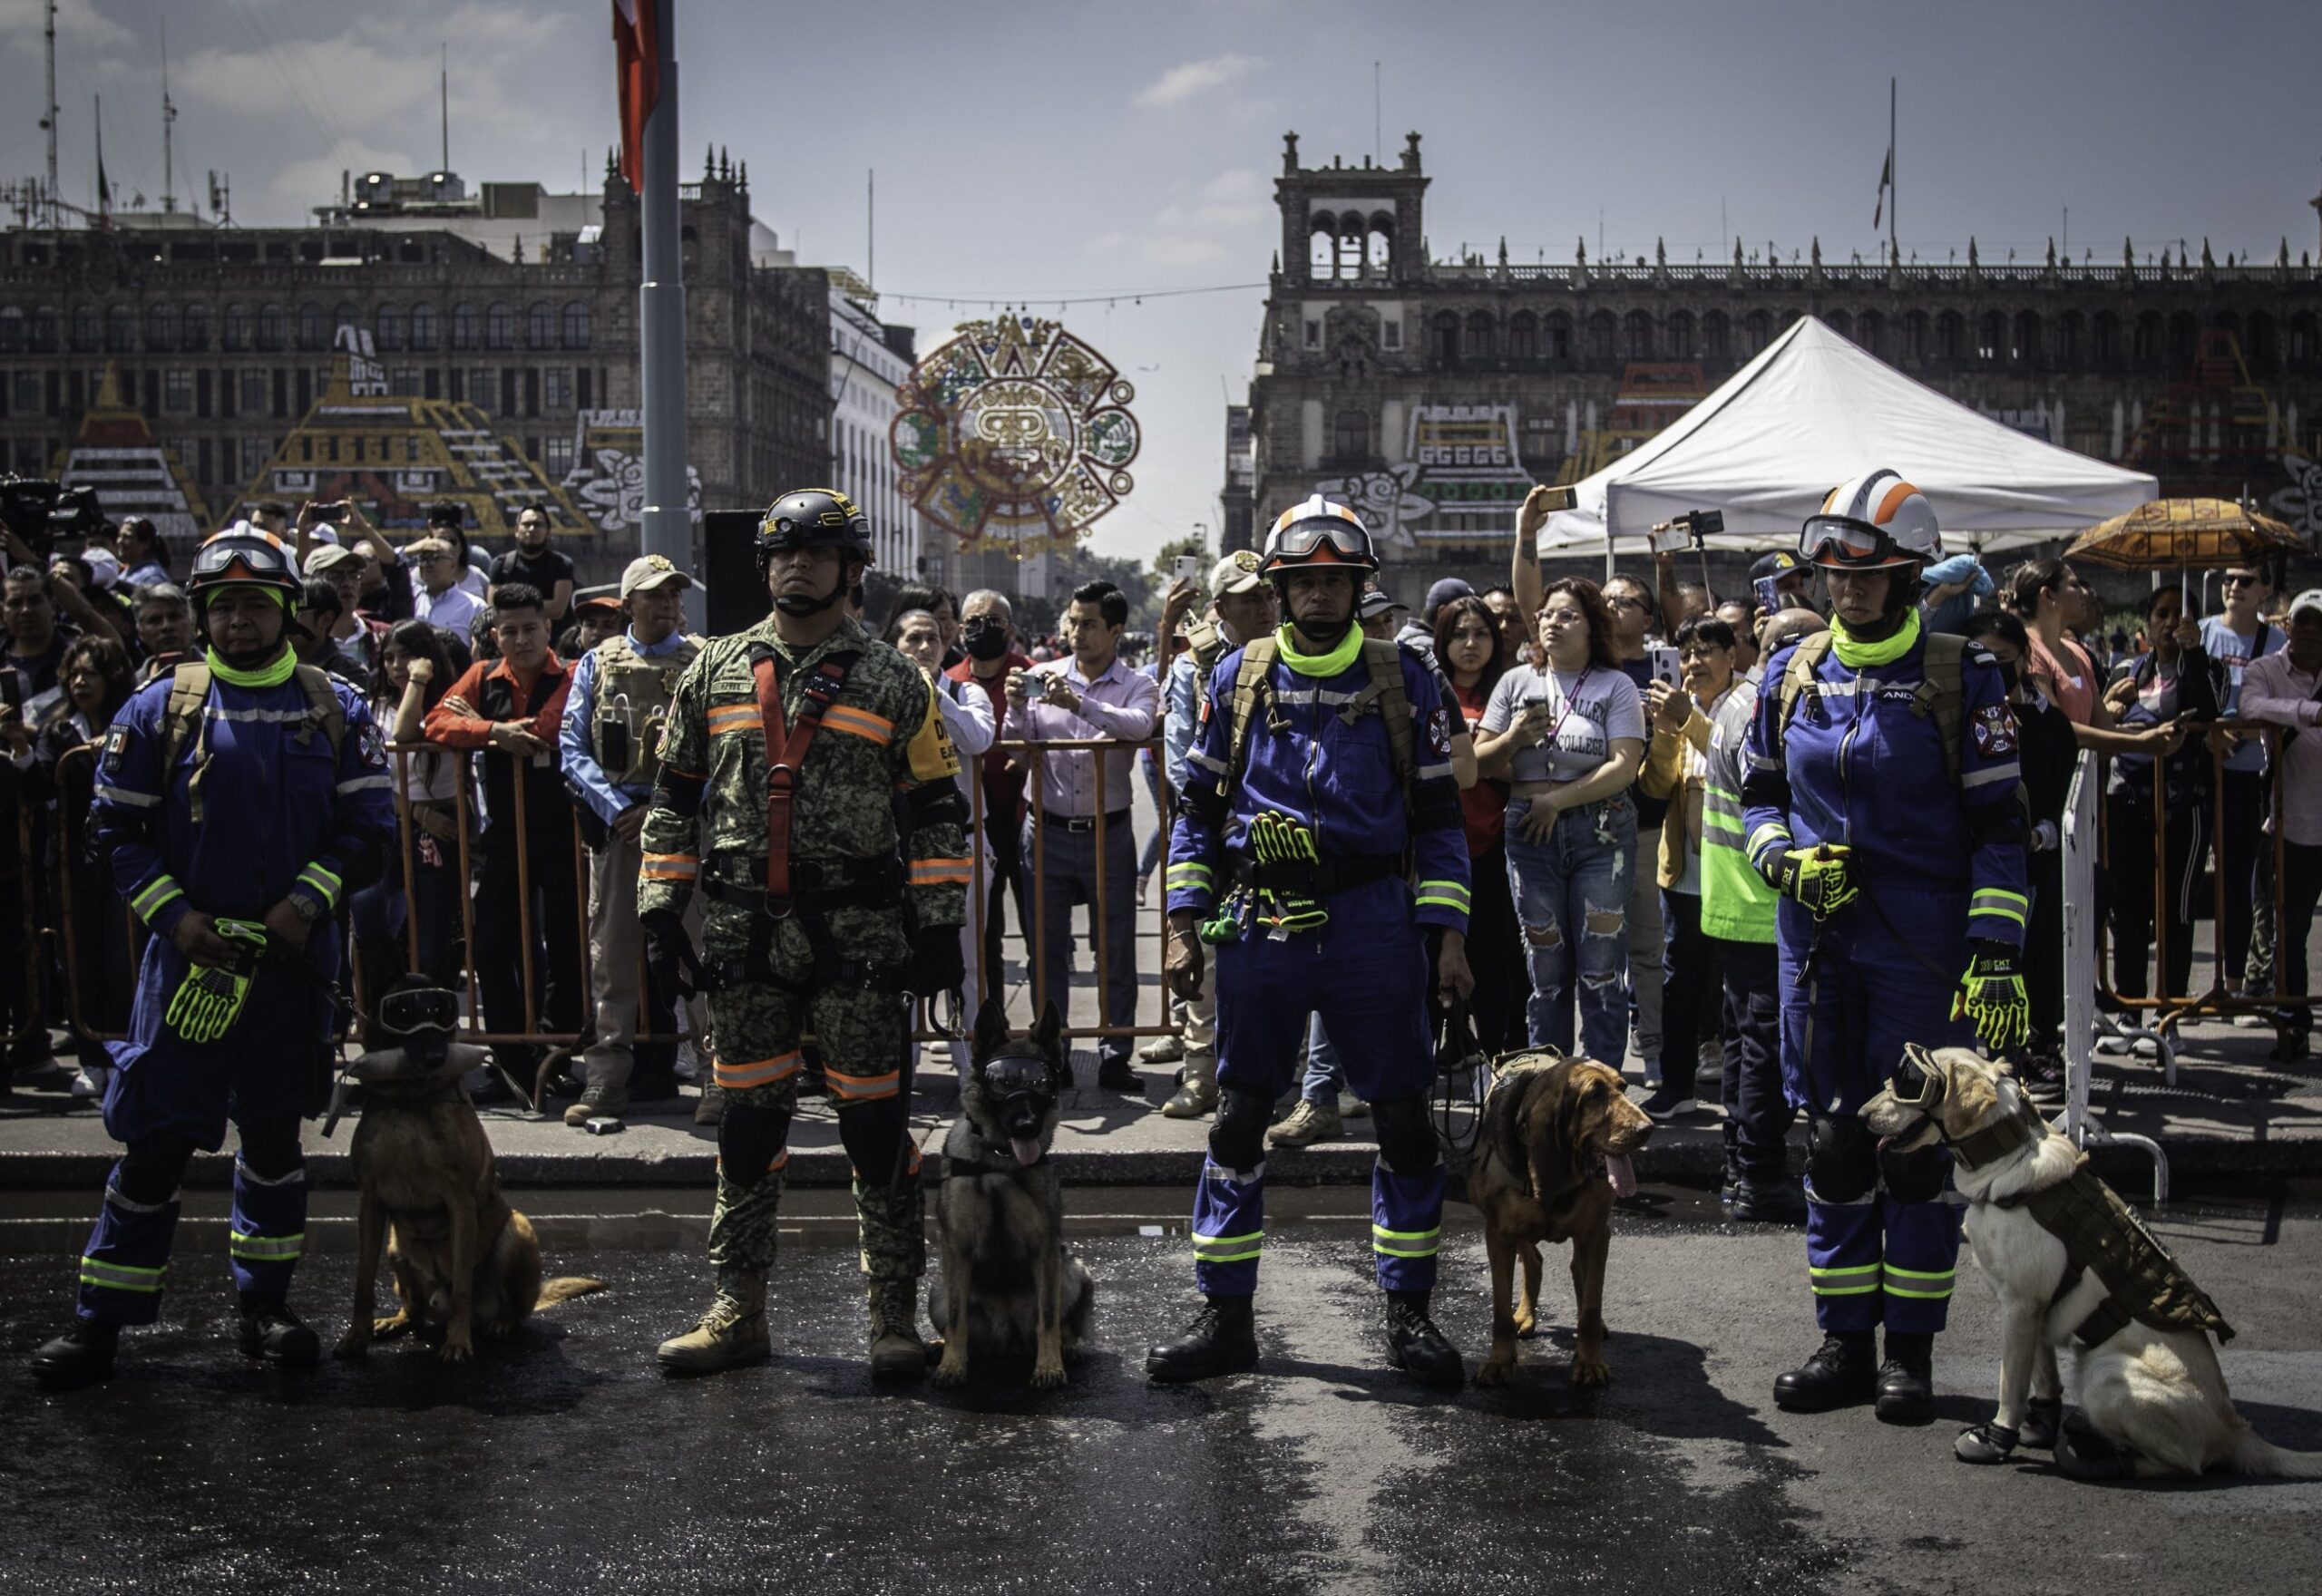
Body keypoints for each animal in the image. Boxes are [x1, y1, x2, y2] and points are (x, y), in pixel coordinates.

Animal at [338, 974, 612, 1354]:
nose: (437, 1057)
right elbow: (363, 1281)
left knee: (508, 1307)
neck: (411, 1101)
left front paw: (457, 1342)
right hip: (396, 1249)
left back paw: (500, 1323)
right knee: (414, 1310)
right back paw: (396, 1320)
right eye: (404, 1013)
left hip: (518, 1231)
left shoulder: (460, 1201)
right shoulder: (369, 1202)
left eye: (442, 1013)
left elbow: (462, 1284)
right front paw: (355, 1337)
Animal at [923, 998, 1096, 1382]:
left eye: (1042, 1082)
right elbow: (957, 1319)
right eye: (1001, 1083)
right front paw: (952, 1365)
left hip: (1074, 1272)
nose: (1027, 1126)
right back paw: (943, 1348)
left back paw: (1067, 1348)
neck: (999, 1161)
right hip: (937, 1289)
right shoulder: (956, 1248)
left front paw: (1048, 1366)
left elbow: (1048, 1318)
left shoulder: (1045, 1248)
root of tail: (1010, 1341)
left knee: (1064, 1324)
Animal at [1467, 1048, 1653, 1382]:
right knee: (1535, 1262)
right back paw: (1524, 1316)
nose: (1647, 1129)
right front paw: (1500, 1362)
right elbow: (1500, 1310)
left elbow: (1590, 1306)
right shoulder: (1498, 1235)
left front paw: (1590, 1363)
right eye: (1594, 1094)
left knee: (1579, 1275)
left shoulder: (1596, 1234)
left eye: (1623, 1087)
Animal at [1867, 1048, 2322, 1484]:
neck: (2007, 1157)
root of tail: (2236, 1430)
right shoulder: (2031, 1309)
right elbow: (2042, 1373)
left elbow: (2010, 1383)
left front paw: (1997, 1439)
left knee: (2185, 1465)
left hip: (2105, 1375)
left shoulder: (2020, 1306)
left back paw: (2096, 1460)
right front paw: (2040, 1425)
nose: (1861, 1114)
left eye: (1909, 1083)